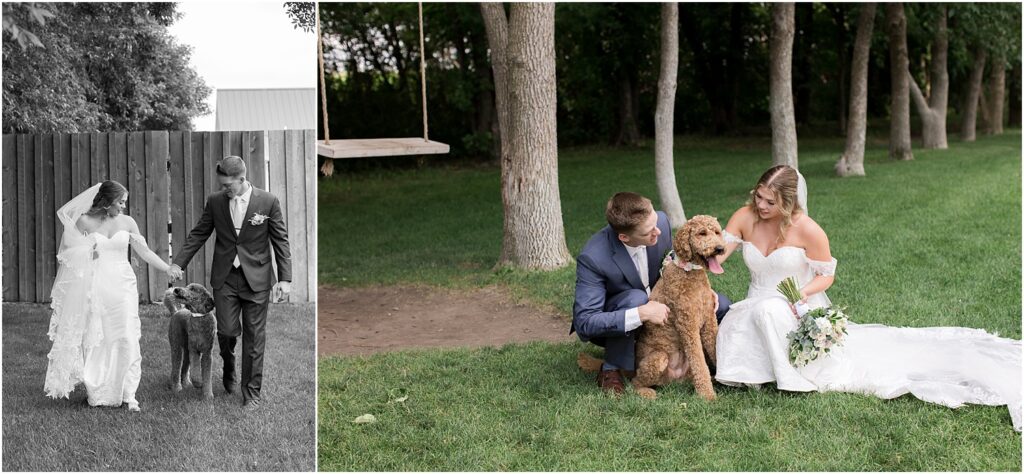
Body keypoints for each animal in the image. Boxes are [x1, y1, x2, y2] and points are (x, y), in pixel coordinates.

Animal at [630, 214, 729, 401]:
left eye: (717, 232)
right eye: (702, 233)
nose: (719, 248)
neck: (690, 272)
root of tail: (672, 380)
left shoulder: (709, 320)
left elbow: (715, 348)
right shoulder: (688, 324)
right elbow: (699, 361)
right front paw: (707, 395)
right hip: (658, 358)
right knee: (634, 382)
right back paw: (647, 392)